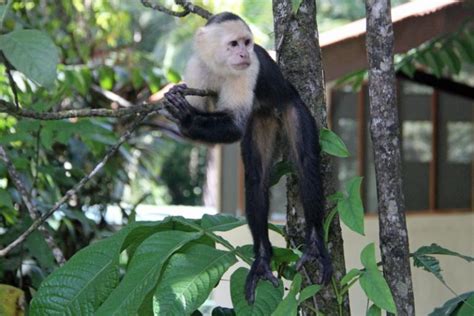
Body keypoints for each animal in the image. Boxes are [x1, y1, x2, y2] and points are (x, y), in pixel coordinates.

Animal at [165, 12, 332, 304]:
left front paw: (185, 116)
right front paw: (182, 114)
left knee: (306, 163)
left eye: (246, 43)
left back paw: (314, 244)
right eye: (233, 44)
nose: (243, 53)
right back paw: (262, 258)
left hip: (292, 107)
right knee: (256, 178)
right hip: (262, 120)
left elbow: (234, 126)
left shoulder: (249, 70)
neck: (220, 66)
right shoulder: (197, 67)